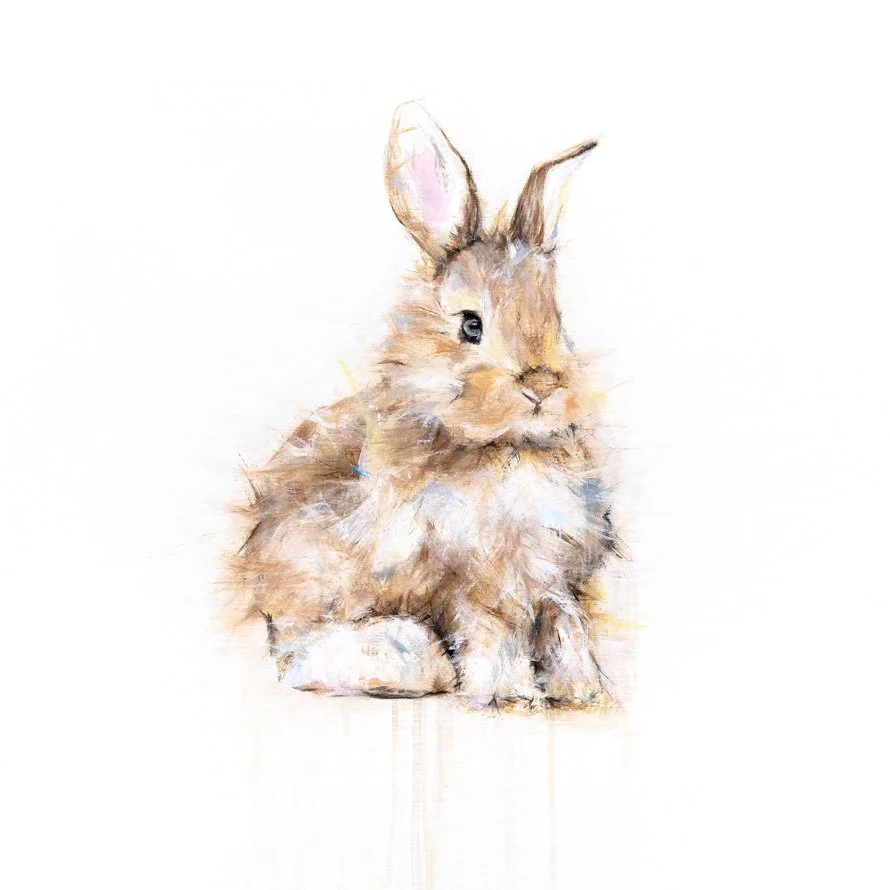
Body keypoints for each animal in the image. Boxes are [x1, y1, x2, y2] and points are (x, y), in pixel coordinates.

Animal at [231, 102, 621, 708]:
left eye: (558, 320)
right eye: (470, 326)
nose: (541, 385)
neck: (501, 448)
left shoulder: (546, 575)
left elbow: (565, 625)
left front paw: (582, 692)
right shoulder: (468, 580)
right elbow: (493, 633)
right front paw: (510, 696)